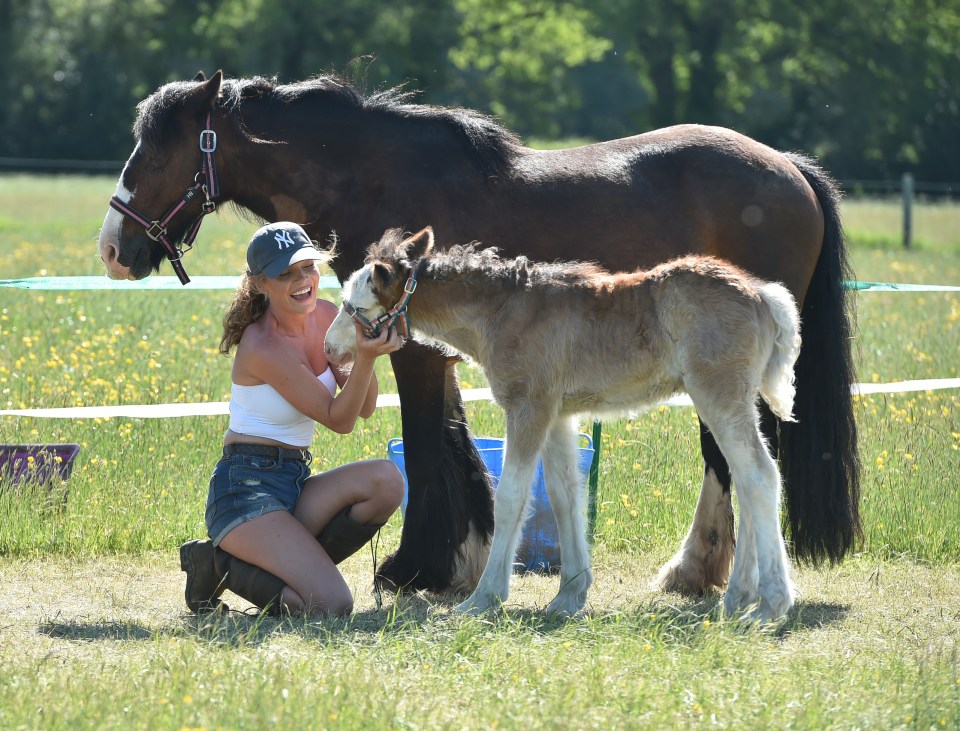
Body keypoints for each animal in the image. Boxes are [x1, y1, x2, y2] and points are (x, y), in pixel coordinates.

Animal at [97, 71, 864, 596]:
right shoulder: (439, 351)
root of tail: (790, 167)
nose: (113, 248)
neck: (375, 175)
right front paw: (459, 559)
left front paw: (418, 568)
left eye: (156, 152)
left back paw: (700, 570)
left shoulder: (410, 348)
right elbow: (454, 441)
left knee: (734, 457)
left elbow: (428, 441)